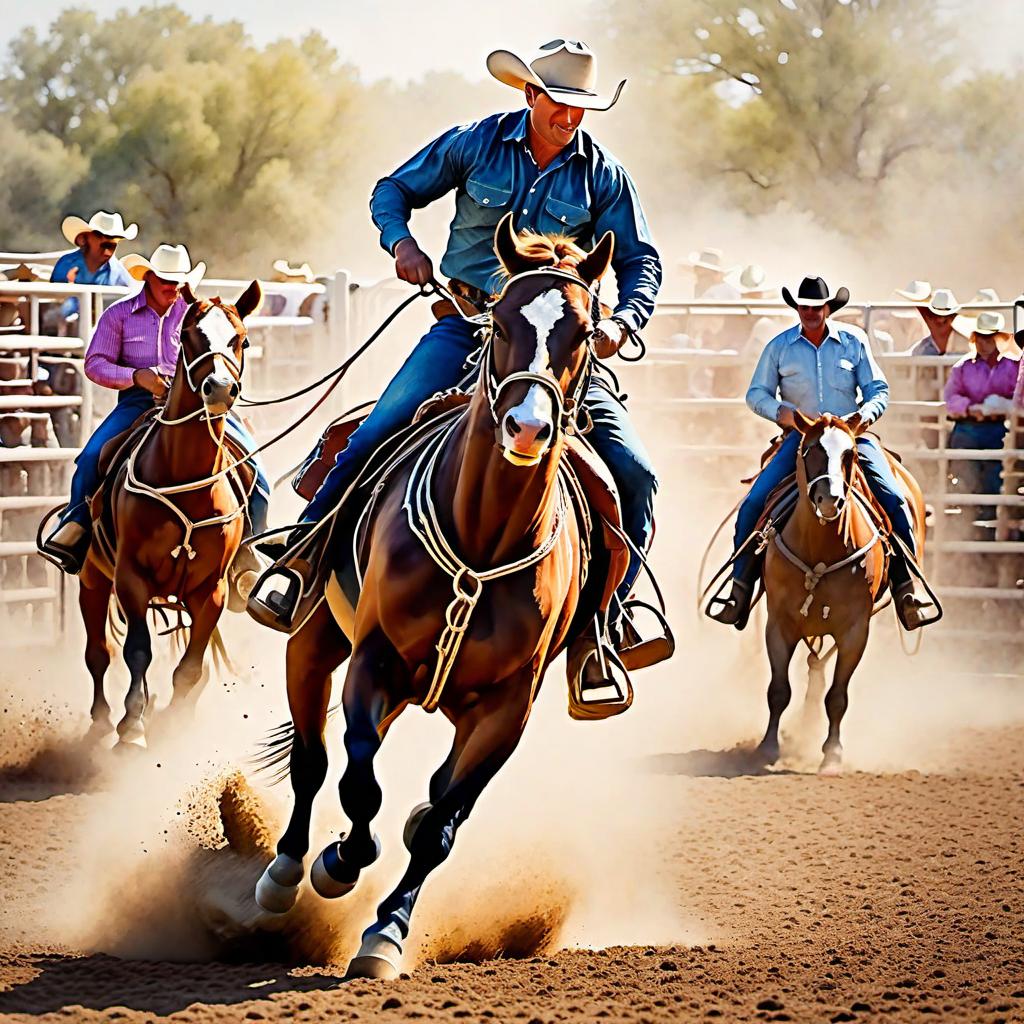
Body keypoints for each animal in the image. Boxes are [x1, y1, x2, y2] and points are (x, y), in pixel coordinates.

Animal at [78, 284, 262, 749]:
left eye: (242, 339)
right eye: (189, 336)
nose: (219, 388)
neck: (188, 480)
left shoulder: (211, 590)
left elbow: (192, 667)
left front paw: (174, 728)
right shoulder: (131, 576)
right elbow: (137, 651)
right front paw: (133, 729)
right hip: (92, 577)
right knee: (98, 654)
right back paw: (103, 721)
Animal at [753, 411, 929, 770]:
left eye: (850, 454)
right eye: (809, 450)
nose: (829, 500)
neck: (820, 550)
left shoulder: (855, 630)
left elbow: (837, 696)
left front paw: (832, 754)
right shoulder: (778, 623)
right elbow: (778, 689)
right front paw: (768, 747)